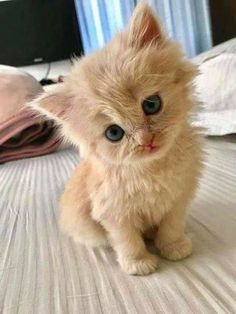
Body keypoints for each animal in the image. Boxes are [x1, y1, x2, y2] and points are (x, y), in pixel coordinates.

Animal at [30, 3, 202, 276]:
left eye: (152, 104)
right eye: (114, 133)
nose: (145, 140)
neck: (152, 170)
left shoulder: (178, 197)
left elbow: (171, 226)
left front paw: (174, 246)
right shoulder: (113, 212)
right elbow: (127, 239)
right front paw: (138, 263)